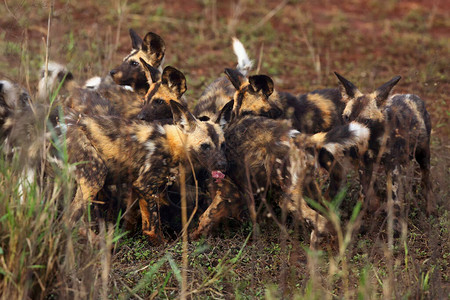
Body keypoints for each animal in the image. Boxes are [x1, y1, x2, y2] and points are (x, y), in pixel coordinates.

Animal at [66, 99, 229, 245]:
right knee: (70, 220)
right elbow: (154, 226)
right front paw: (162, 247)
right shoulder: (145, 185)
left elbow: (144, 222)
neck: (173, 144)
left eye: (222, 145)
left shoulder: (147, 189)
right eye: (205, 146)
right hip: (95, 177)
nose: (223, 165)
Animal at [191, 74, 370, 246]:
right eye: (234, 112)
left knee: (322, 223)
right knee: (329, 215)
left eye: (247, 113)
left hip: (289, 197)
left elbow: (206, 218)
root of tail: (298, 138)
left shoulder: (232, 192)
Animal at [336, 72, 434, 234]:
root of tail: (412, 96)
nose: (349, 145)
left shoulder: (392, 166)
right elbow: (365, 194)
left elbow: (394, 198)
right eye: (346, 118)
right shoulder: (364, 165)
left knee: (427, 181)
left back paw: (430, 210)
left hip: (423, 155)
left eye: (366, 121)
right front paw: (360, 220)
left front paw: (395, 225)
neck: (373, 141)